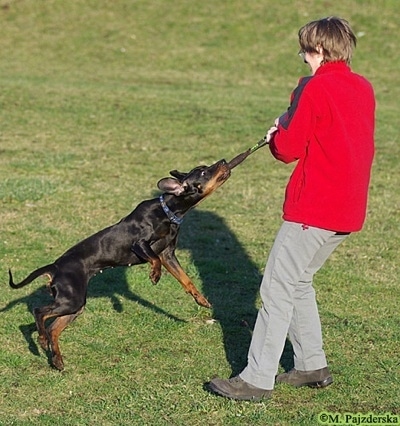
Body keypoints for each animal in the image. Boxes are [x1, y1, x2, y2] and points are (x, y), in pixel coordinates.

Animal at [8, 158, 231, 368]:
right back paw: (42, 340)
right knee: (39, 312)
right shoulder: (140, 244)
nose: (223, 161)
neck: (168, 210)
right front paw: (155, 275)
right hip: (71, 300)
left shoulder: (169, 254)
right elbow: (154, 259)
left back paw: (56, 359)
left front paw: (201, 299)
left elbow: (185, 278)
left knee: (53, 328)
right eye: (204, 172)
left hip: (74, 305)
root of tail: (55, 267)